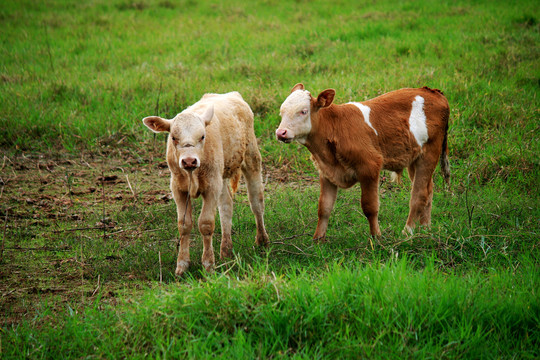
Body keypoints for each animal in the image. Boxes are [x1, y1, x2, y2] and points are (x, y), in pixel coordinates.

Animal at [143, 92, 270, 276]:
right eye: (174, 137)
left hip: (251, 157)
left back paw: (262, 240)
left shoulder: (211, 187)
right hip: (221, 175)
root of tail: (231, 94)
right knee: (226, 206)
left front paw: (208, 265)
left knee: (256, 202)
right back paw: (226, 250)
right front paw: (182, 265)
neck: (192, 174)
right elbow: (184, 225)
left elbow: (206, 223)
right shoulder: (178, 189)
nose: (189, 161)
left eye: (202, 136)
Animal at [276, 83, 450, 238]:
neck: (334, 126)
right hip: (415, 157)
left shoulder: (370, 166)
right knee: (429, 190)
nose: (280, 132)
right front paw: (318, 240)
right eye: (281, 112)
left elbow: (370, 207)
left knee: (419, 195)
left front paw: (376, 237)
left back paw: (407, 231)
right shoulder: (326, 172)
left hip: (429, 153)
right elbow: (324, 208)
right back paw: (426, 228)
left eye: (303, 111)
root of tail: (433, 91)